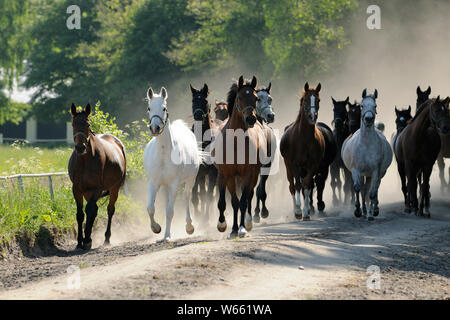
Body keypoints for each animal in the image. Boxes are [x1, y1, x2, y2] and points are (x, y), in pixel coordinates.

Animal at [67, 103, 126, 250]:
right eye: (73, 124)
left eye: (88, 124)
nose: (80, 147)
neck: (85, 161)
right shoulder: (77, 189)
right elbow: (80, 214)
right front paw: (79, 241)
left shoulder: (97, 189)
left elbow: (89, 210)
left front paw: (87, 240)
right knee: (94, 210)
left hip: (114, 188)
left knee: (110, 210)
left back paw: (106, 238)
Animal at [144, 86, 202, 239]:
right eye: (149, 108)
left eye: (164, 108)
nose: (155, 128)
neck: (164, 155)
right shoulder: (153, 182)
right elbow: (150, 208)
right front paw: (156, 228)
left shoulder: (175, 184)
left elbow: (170, 211)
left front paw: (167, 236)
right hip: (165, 186)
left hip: (190, 180)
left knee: (186, 196)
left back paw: (189, 226)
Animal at [211, 75, 268, 238]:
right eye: (240, 97)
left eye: (256, 98)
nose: (251, 119)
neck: (236, 142)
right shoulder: (228, 174)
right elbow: (233, 202)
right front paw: (231, 228)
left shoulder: (247, 173)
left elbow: (243, 201)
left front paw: (242, 228)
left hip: (253, 174)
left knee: (249, 195)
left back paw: (248, 221)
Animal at [280, 82, 336, 220]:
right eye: (305, 100)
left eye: (318, 100)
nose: (312, 116)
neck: (304, 138)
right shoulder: (295, 164)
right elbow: (298, 185)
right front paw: (298, 211)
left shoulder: (313, 165)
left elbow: (307, 184)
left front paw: (306, 211)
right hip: (288, 166)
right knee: (292, 186)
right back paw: (295, 208)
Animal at [342, 89, 392, 221]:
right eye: (362, 105)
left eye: (375, 106)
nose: (368, 119)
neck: (366, 145)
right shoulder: (356, 170)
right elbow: (358, 188)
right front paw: (358, 211)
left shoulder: (375, 171)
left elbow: (372, 193)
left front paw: (371, 214)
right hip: (364, 174)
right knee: (364, 190)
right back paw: (364, 211)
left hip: (378, 173)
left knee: (375, 188)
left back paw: (374, 210)